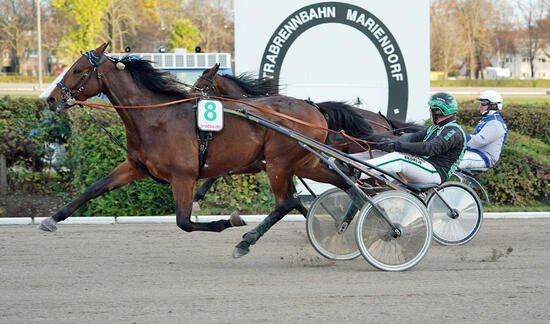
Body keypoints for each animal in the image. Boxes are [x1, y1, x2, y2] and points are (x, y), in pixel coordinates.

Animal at [41, 43, 374, 258]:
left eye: (78, 70)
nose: (52, 99)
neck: (156, 117)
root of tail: (314, 108)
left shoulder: (184, 176)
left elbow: (184, 222)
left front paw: (229, 221)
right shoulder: (135, 166)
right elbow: (93, 189)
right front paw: (52, 219)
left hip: (279, 163)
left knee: (286, 202)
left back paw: (246, 241)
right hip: (305, 162)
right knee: (346, 186)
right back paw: (357, 220)